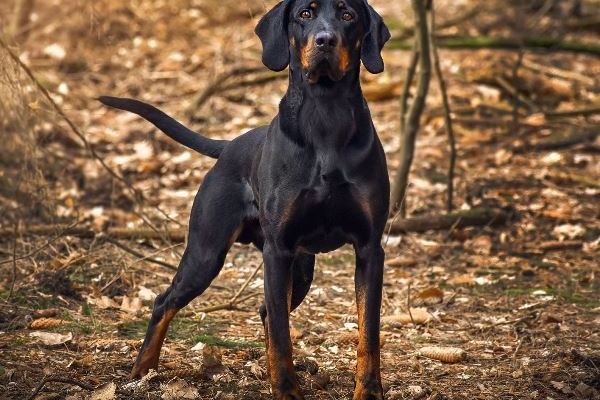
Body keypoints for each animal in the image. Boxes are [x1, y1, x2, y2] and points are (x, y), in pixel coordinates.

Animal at [99, 1, 390, 398]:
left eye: (348, 16)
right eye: (305, 14)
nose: (325, 40)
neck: (325, 116)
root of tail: (227, 146)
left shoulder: (369, 249)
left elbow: (368, 332)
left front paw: (369, 390)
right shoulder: (277, 250)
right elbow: (282, 334)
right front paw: (287, 390)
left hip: (301, 269)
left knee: (267, 312)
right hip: (206, 252)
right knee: (165, 301)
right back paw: (142, 369)